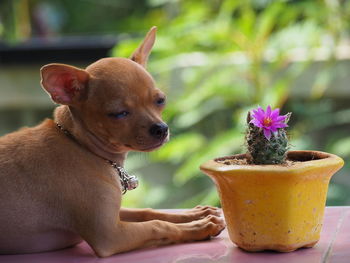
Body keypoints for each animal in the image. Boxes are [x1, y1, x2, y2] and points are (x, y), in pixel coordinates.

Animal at [0, 26, 226, 258]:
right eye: (119, 114)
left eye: (160, 100)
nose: (161, 129)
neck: (80, 145)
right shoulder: (110, 234)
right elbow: (158, 225)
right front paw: (199, 227)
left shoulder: (116, 214)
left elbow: (148, 212)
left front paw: (193, 214)